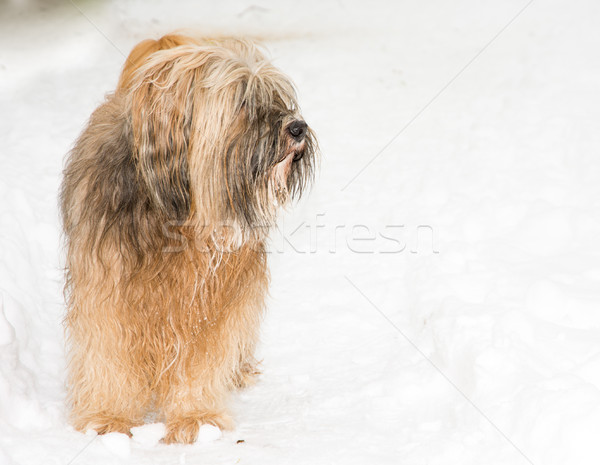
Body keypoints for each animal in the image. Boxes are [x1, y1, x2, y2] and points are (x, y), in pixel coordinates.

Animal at [58, 33, 316, 442]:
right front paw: (108, 419)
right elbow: (108, 352)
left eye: (278, 97)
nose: (298, 127)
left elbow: (200, 357)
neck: (180, 211)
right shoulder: (105, 286)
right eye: (244, 100)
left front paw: (196, 418)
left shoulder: (211, 296)